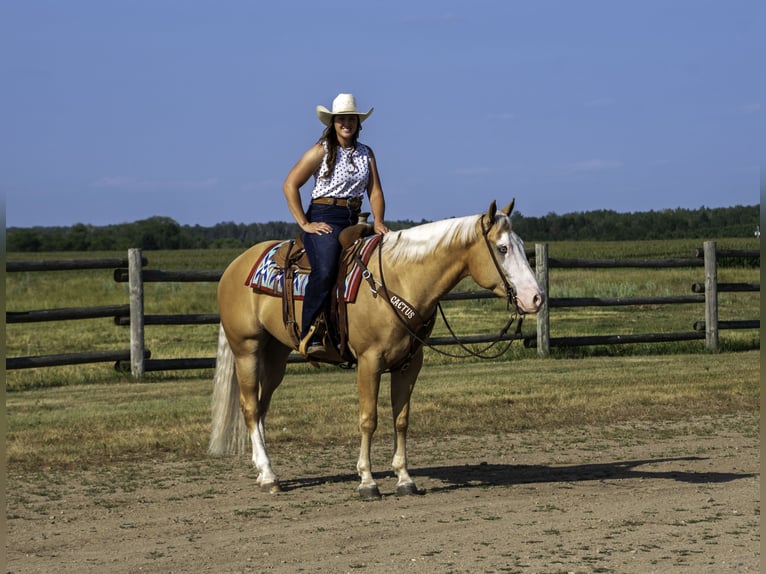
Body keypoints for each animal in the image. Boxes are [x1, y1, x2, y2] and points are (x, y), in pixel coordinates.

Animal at [210, 200, 544, 502]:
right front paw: (367, 482)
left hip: (276, 355)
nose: (536, 298)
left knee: (262, 407)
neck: (399, 279)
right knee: (250, 407)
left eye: (520, 245)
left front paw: (405, 479)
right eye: (502, 248)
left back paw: (262, 470)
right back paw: (269, 476)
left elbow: (401, 419)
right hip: (247, 349)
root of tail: (235, 266)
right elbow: (369, 419)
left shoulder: (409, 363)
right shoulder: (369, 362)